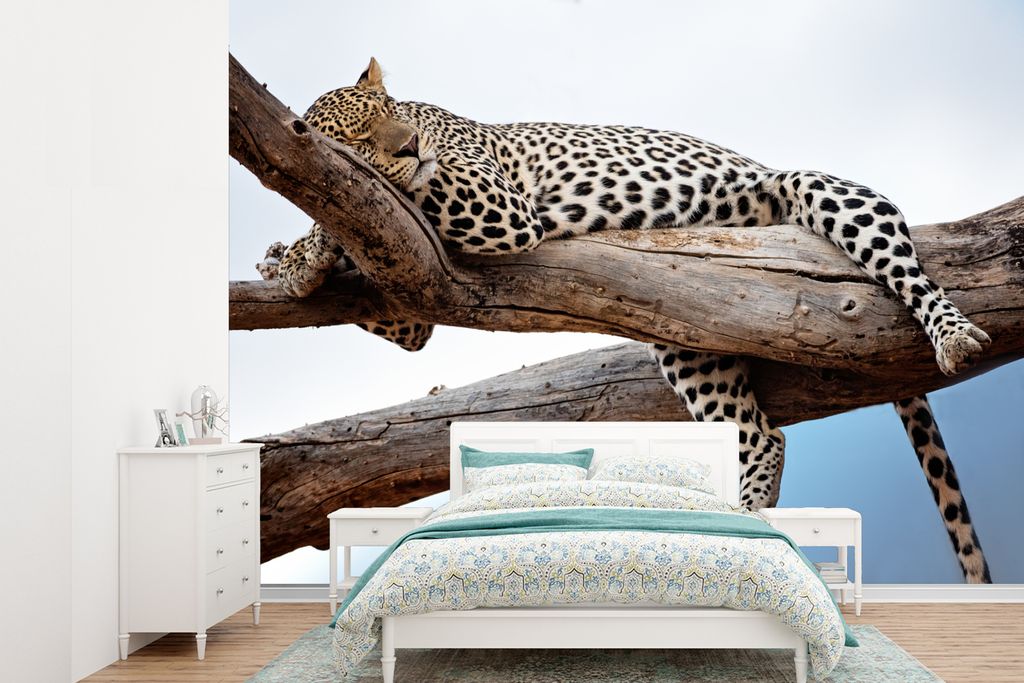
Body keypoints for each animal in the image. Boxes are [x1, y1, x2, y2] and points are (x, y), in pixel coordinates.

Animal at [274, 58, 992, 582]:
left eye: (391, 115)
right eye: (357, 138)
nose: (409, 146)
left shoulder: (496, 205)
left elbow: (397, 193)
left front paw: (304, 245)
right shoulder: (405, 269)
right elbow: (393, 303)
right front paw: (296, 259)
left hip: (818, 190)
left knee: (906, 269)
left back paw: (954, 335)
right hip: (689, 340)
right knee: (760, 435)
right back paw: (739, 517)